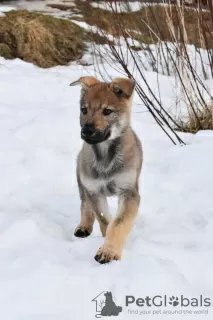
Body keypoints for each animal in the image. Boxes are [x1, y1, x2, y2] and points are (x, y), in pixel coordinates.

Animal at [70, 76, 143, 264]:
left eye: (107, 111)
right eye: (84, 110)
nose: (86, 131)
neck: (105, 156)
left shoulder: (128, 191)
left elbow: (118, 223)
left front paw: (109, 251)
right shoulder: (94, 190)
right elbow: (104, 219)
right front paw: (106, 243)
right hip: (82, 181)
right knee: (85, 205)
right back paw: (84, 226)